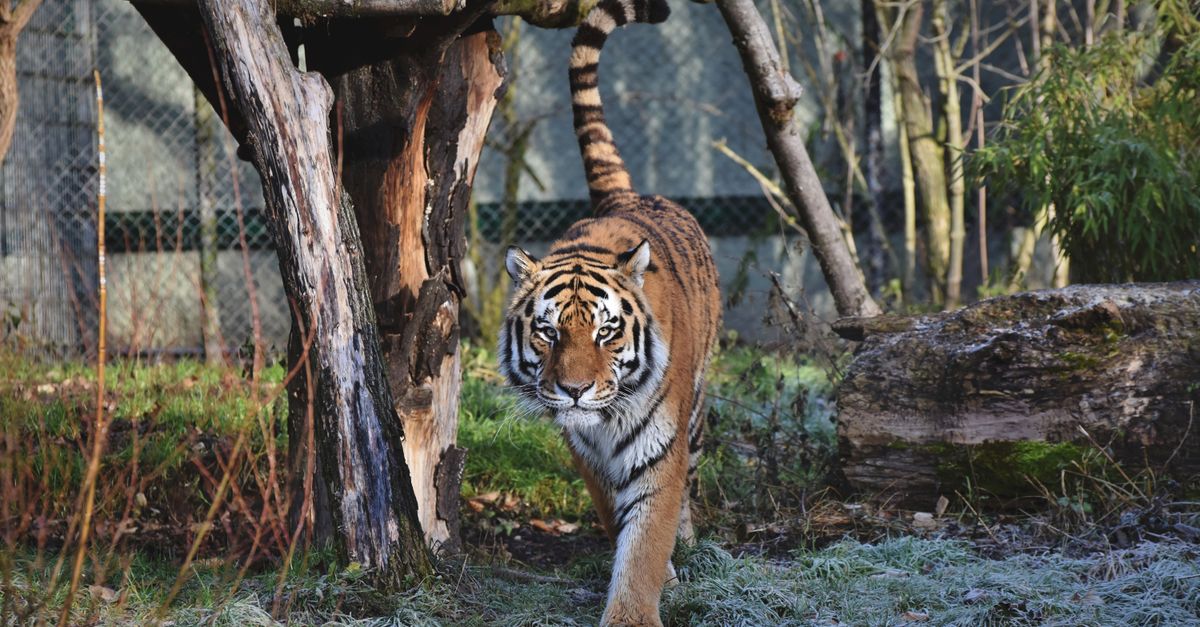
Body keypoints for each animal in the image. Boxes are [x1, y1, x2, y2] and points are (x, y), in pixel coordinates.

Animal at [497, 0, 722, 623]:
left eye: (606, 332)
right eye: (547, 333)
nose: (574, 392)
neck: (603, 424)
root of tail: (625, 197)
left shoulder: (658, 452)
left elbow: (645, 539)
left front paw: (638, 606)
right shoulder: (587, 457)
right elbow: (619, 521)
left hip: (696, 411)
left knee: (690, 480)